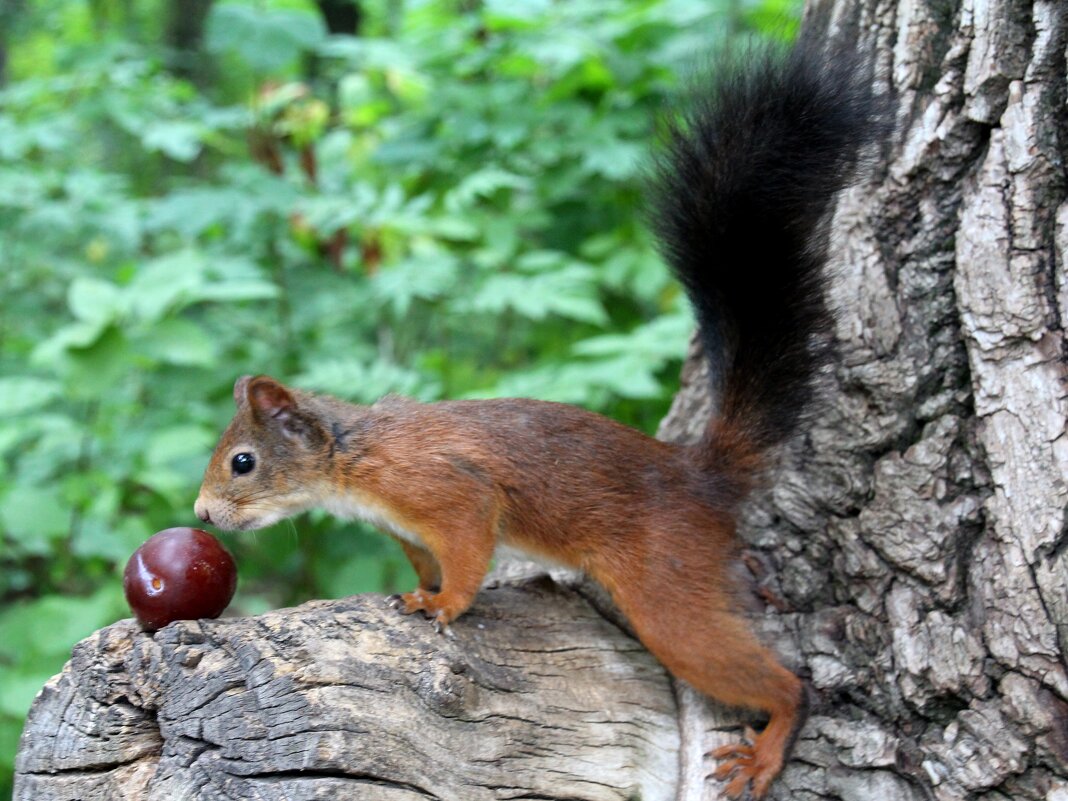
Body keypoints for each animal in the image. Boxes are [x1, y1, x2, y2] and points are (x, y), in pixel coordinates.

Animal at [196, 36, 880, 801]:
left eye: (243, 462)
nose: (203, 514)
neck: (351, 458)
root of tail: (702, 478)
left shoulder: (444, 489)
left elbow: (469, 550)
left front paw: (443, 605)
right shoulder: (405, 527)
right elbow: (427, 559)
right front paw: (422, 589)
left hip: (668, 588)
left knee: (776, 679)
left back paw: (769, 743)